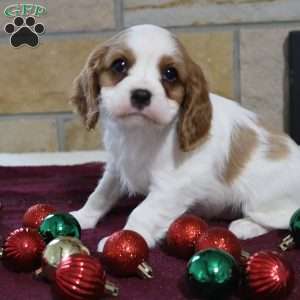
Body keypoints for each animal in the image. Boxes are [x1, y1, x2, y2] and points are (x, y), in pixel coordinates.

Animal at [69, 25, 300, 251]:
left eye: (170, 73)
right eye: (119, 65)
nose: (141, 95)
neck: (140, 132)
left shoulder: (172, 186)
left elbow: (143, 212)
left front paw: (126, 238)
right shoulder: (117, 167)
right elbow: (100, 194)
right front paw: (82, 217)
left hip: (262, 203)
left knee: (283, 217)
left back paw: (245, 225)